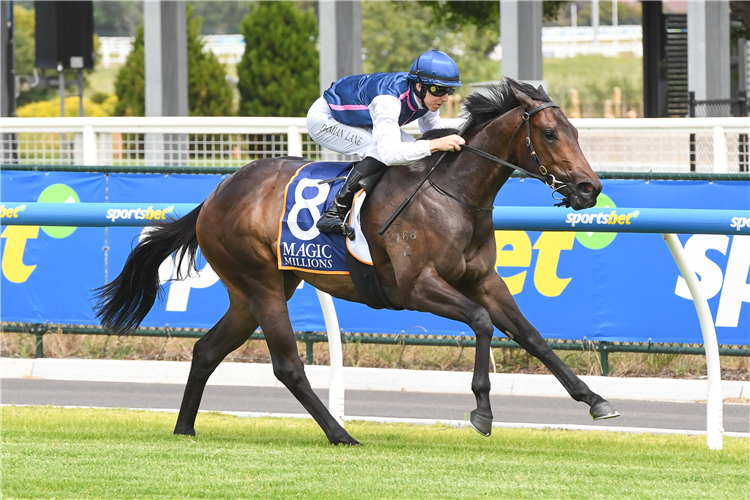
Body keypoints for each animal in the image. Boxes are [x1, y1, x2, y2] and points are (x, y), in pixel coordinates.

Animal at [95, 79, 624, 446]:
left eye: (576, 131)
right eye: (550, 133)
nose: (589, 188)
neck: (452, 196)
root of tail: (215, 195)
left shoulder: (485, 279)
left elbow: (532, 336)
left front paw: (595, 400)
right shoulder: (415, 288)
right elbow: (480, 322)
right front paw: (482, 412)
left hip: (254, 292)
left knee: (206, 350)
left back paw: (185, 429)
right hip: (260, 282)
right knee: (287, 365)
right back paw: (341, 434)